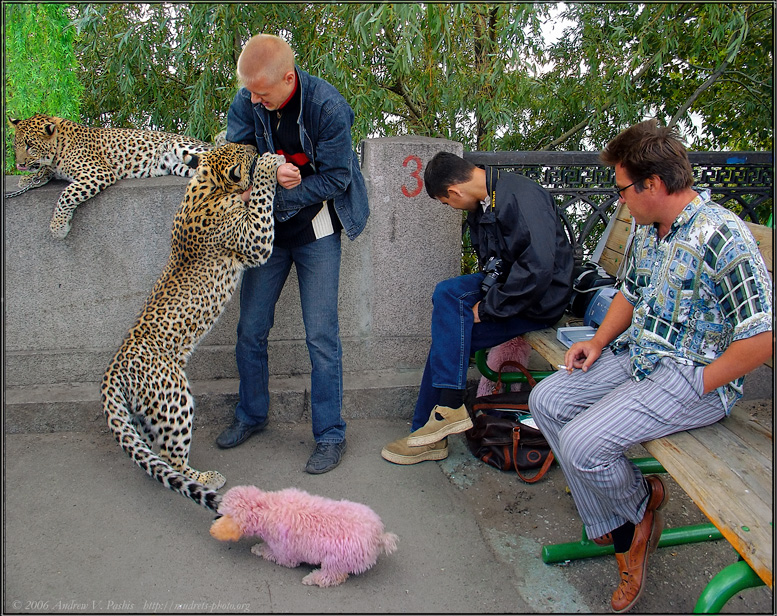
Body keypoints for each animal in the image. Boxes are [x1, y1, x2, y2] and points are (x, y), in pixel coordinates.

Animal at [101, 143, 284, 510]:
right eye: (245, 152)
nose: (255, 146)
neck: (209, 185)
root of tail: (114, 370)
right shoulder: (255, 238)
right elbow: (259, 195)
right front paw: (269, 165)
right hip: (173, 398)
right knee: (173, 455)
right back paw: (206, 478)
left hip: (145, 412)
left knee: (155, 453)